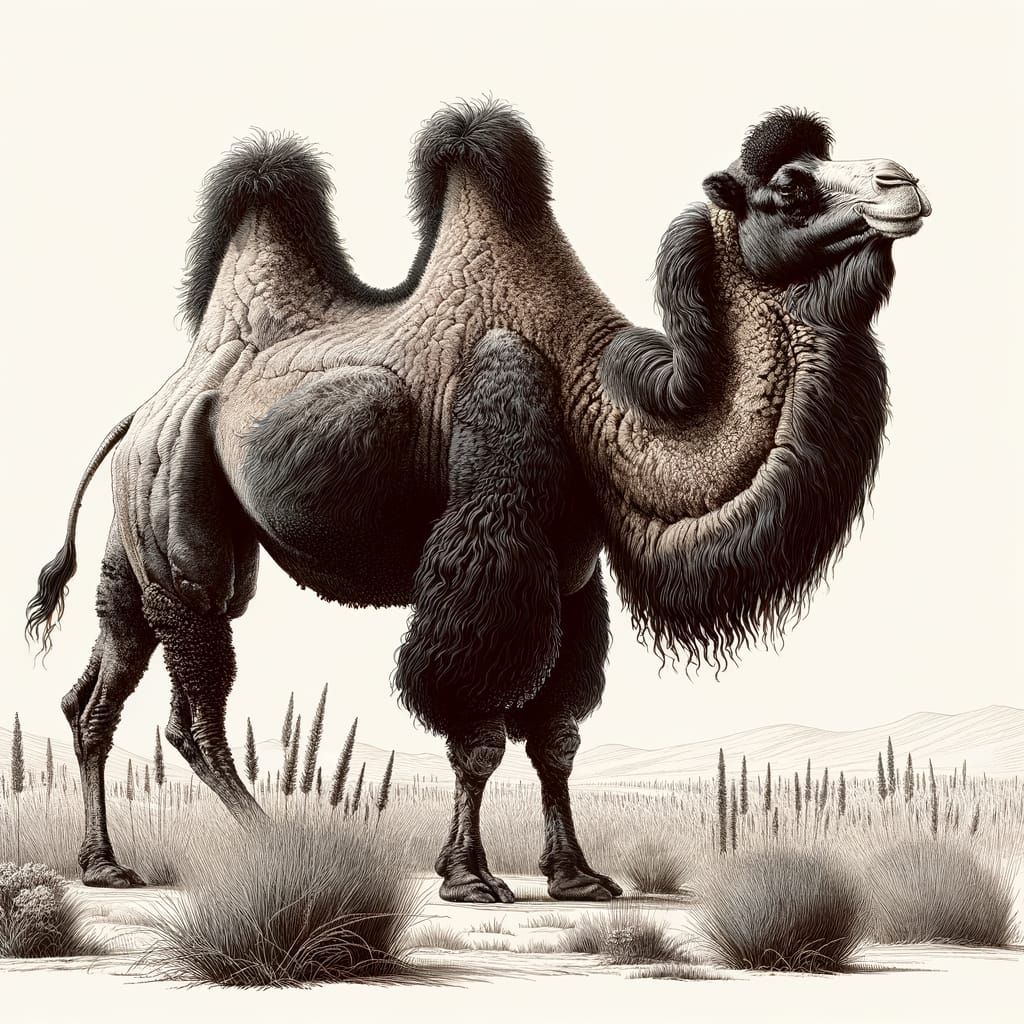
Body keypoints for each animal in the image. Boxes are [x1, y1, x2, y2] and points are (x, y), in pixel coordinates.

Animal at [26, 100, 930, 900]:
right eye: (790, 187)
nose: (906, 183)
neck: (598, 402)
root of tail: (145, 410)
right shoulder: (495, 547)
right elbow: (478, 728)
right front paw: (468, 876)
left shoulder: (572, 578)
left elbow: (557, 738)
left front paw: (577, 877)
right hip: (184, 526)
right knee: (194, 696)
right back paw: (275, 839)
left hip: (133, 535)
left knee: (95, 690)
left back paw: (103, 866)